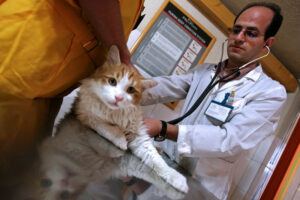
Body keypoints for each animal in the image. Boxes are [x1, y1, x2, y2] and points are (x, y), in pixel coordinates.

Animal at [14, 45, 188, 200]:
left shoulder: (139, 137)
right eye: (112, 81)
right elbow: (106, 127)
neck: (114, 114)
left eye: (131, 90)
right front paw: (120, 140)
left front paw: (177, 179)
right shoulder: (86, 115)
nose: (118, 98)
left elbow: (157, 162)